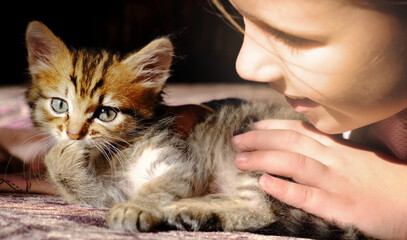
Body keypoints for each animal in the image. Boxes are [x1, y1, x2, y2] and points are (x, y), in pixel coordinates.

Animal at [23, 21, 372, 240]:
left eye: (106, 113)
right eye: (59, 105)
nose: (75, 133)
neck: (118, 152)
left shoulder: (181, 161)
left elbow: (160, 187)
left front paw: (137, 207)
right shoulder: (109, 191)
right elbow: (79, 187)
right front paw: (62, 156)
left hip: (255, 149)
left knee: (260, 211)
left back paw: (188, 210)